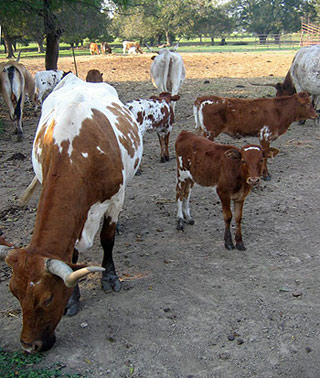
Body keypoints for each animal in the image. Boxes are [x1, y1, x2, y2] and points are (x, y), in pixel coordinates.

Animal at [0, 72, 142, 352]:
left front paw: (110, 277)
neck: (74, 149)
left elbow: (107, 239)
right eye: (13, 292)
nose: (29, 346)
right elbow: (73, 255)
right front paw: (74, 299)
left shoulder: (115, 199)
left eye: (47, 299)